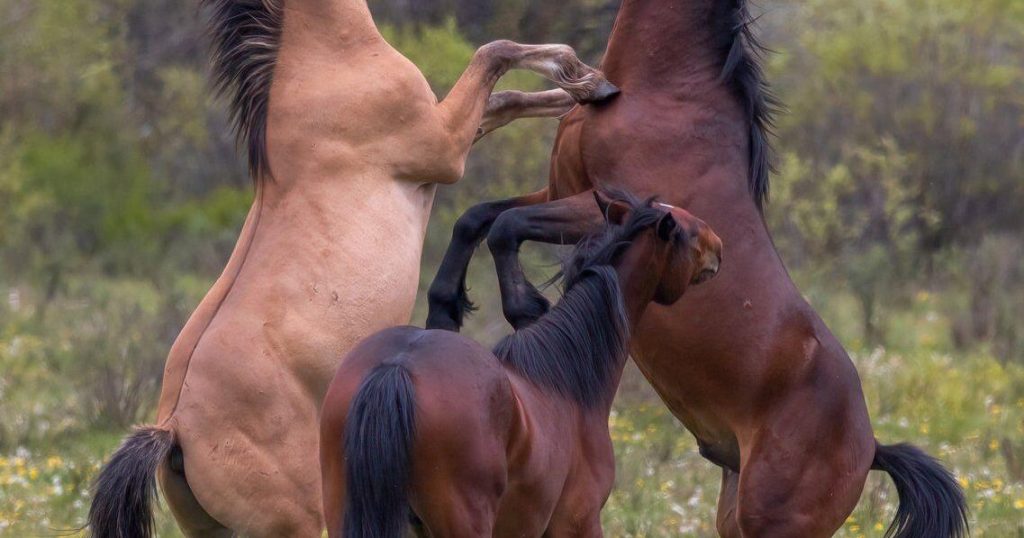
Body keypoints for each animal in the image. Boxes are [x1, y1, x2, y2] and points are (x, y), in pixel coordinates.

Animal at [86, 1, 620, 535]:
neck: (326, 60)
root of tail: (173, 431)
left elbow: (507, 98)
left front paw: (580, 91)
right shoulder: (444, 146)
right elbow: (496, 54)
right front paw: (587, 79)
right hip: (302, 519)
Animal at [424, 1, 969, 537]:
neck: (661, 90)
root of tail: (872, 446)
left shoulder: (610, 204)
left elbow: (506, 226)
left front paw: (527, 309)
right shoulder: (562, 190)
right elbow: (476, 217)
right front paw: (444, 311)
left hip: (773, 522)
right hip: (735, 513)